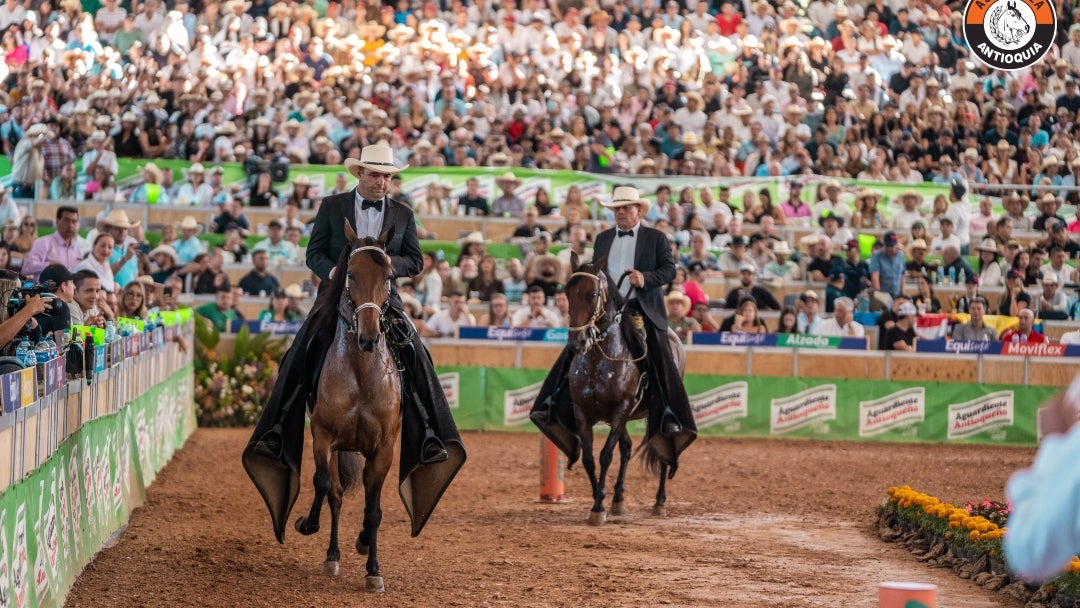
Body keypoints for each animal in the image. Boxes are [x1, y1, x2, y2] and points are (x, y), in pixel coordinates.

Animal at [291, 224, 401, 596]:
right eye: (350, 274)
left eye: (389, 276)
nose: (368, 337)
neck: (361, 373)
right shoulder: (323, 436)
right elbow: (324, 483)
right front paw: (307, 524)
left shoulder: (383, 450)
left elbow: (374, 510)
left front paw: (373, 568)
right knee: (335, 495)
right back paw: (332, 556)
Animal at [565, 254, 682, 524]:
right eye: (567, 292)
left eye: (593, 294)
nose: (577, 342)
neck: (599, 361)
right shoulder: (582, 413)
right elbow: (589, 458)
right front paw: (599, 499)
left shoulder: (621, 409)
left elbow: (605, 455)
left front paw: (599, 507)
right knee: (627, 447)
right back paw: (618, 499)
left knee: (662, 450)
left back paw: (659, 502)